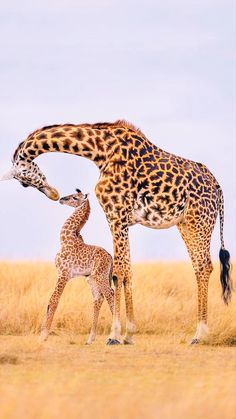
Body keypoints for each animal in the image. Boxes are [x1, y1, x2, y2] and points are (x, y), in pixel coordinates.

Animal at [40, 189, 114, 344]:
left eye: (74, 197)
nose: (61, 199)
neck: (65, 240)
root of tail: (110, 257)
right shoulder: (61, 274)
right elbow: (50, 300)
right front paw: (42, 333)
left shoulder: (63, 274)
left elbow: (54, 300)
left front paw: (44, 335)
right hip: (91, 279)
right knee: (98, 299)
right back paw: (90, 339)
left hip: (101, 276)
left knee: (110, 294)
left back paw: (115, 336)